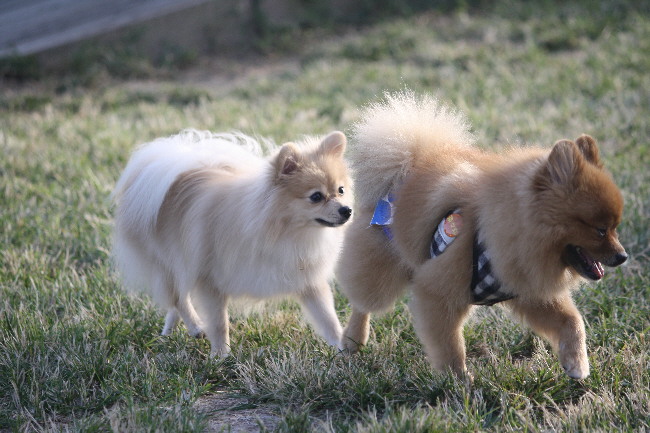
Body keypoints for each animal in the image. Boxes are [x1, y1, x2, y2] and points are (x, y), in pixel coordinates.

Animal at [112, 129, 352, 356]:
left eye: (341, 190)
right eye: (316, 197)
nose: (347, 210)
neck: (282, 232)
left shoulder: (307, 280)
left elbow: (328, 318)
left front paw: (343, 349)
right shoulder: (210, 279)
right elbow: (219, 323)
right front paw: (220, 356)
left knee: (177, 299)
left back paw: (176, 331)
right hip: (167, 263)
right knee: (178, 298)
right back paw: (195, 326)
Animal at [337, 91, 627, 379]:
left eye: (615, 227)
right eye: (600, 230)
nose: (622, 256)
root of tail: (406, 162)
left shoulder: (527, 286)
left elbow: (572, 321)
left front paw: (577, 364)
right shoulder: (438, 290)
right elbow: (450, 345)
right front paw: (458, 380)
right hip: (380, 271)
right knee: (364, 303)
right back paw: (352, 340)